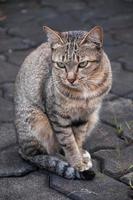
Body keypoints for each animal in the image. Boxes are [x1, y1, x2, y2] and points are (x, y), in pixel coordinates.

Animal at [14, 25, 112, 180]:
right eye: (61, 64)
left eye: (82, 64)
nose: (70, 79)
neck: (85, 90)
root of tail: (21, 147)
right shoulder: (57, 116)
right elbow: (68, 142)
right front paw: (77, 163)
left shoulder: (84, 116)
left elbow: (77, 138)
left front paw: (80, 156)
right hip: (37, 120)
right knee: (46, 153)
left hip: (93, 117)